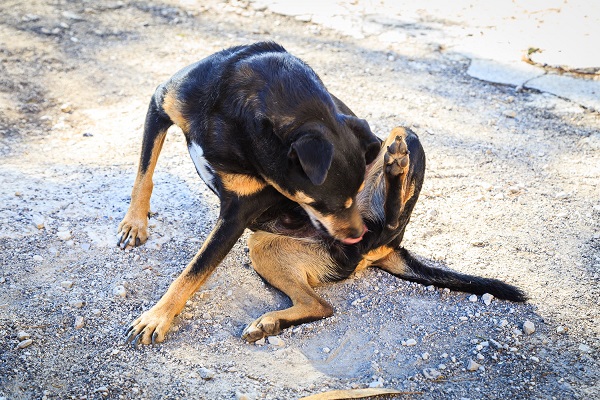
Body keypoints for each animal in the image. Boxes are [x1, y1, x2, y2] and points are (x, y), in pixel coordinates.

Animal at [118, 42, 380, 346]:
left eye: (359, 192)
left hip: (265, 245)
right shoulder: (161, 105)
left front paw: (157, 317)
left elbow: (194, 270)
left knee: (321, 306)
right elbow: (144, 174)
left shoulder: (237, 214)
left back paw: (268, 322)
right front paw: (135, 223)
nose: (360, 235)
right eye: (319, 204)